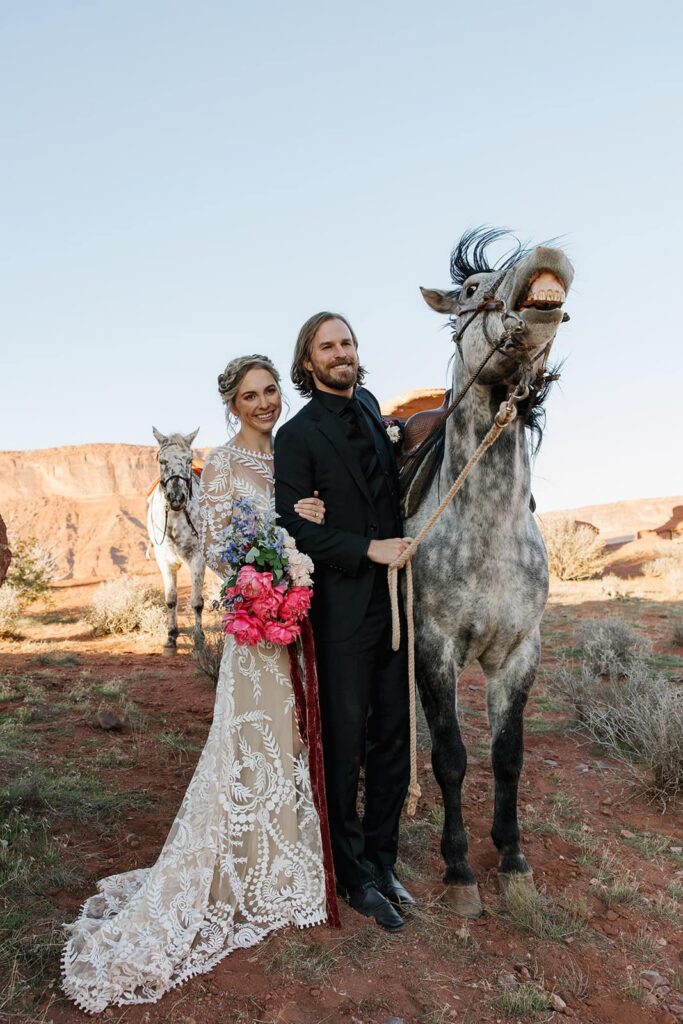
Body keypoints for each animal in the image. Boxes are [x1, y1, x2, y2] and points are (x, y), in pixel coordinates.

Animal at [147, 428, 205, 653]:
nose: (177, 498)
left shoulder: (198, 558)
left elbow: (196, 601)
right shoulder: (164, 561)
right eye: (162, 460)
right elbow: (171, 599)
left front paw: (199, 638)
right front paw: (171, 637)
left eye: (189, 460)